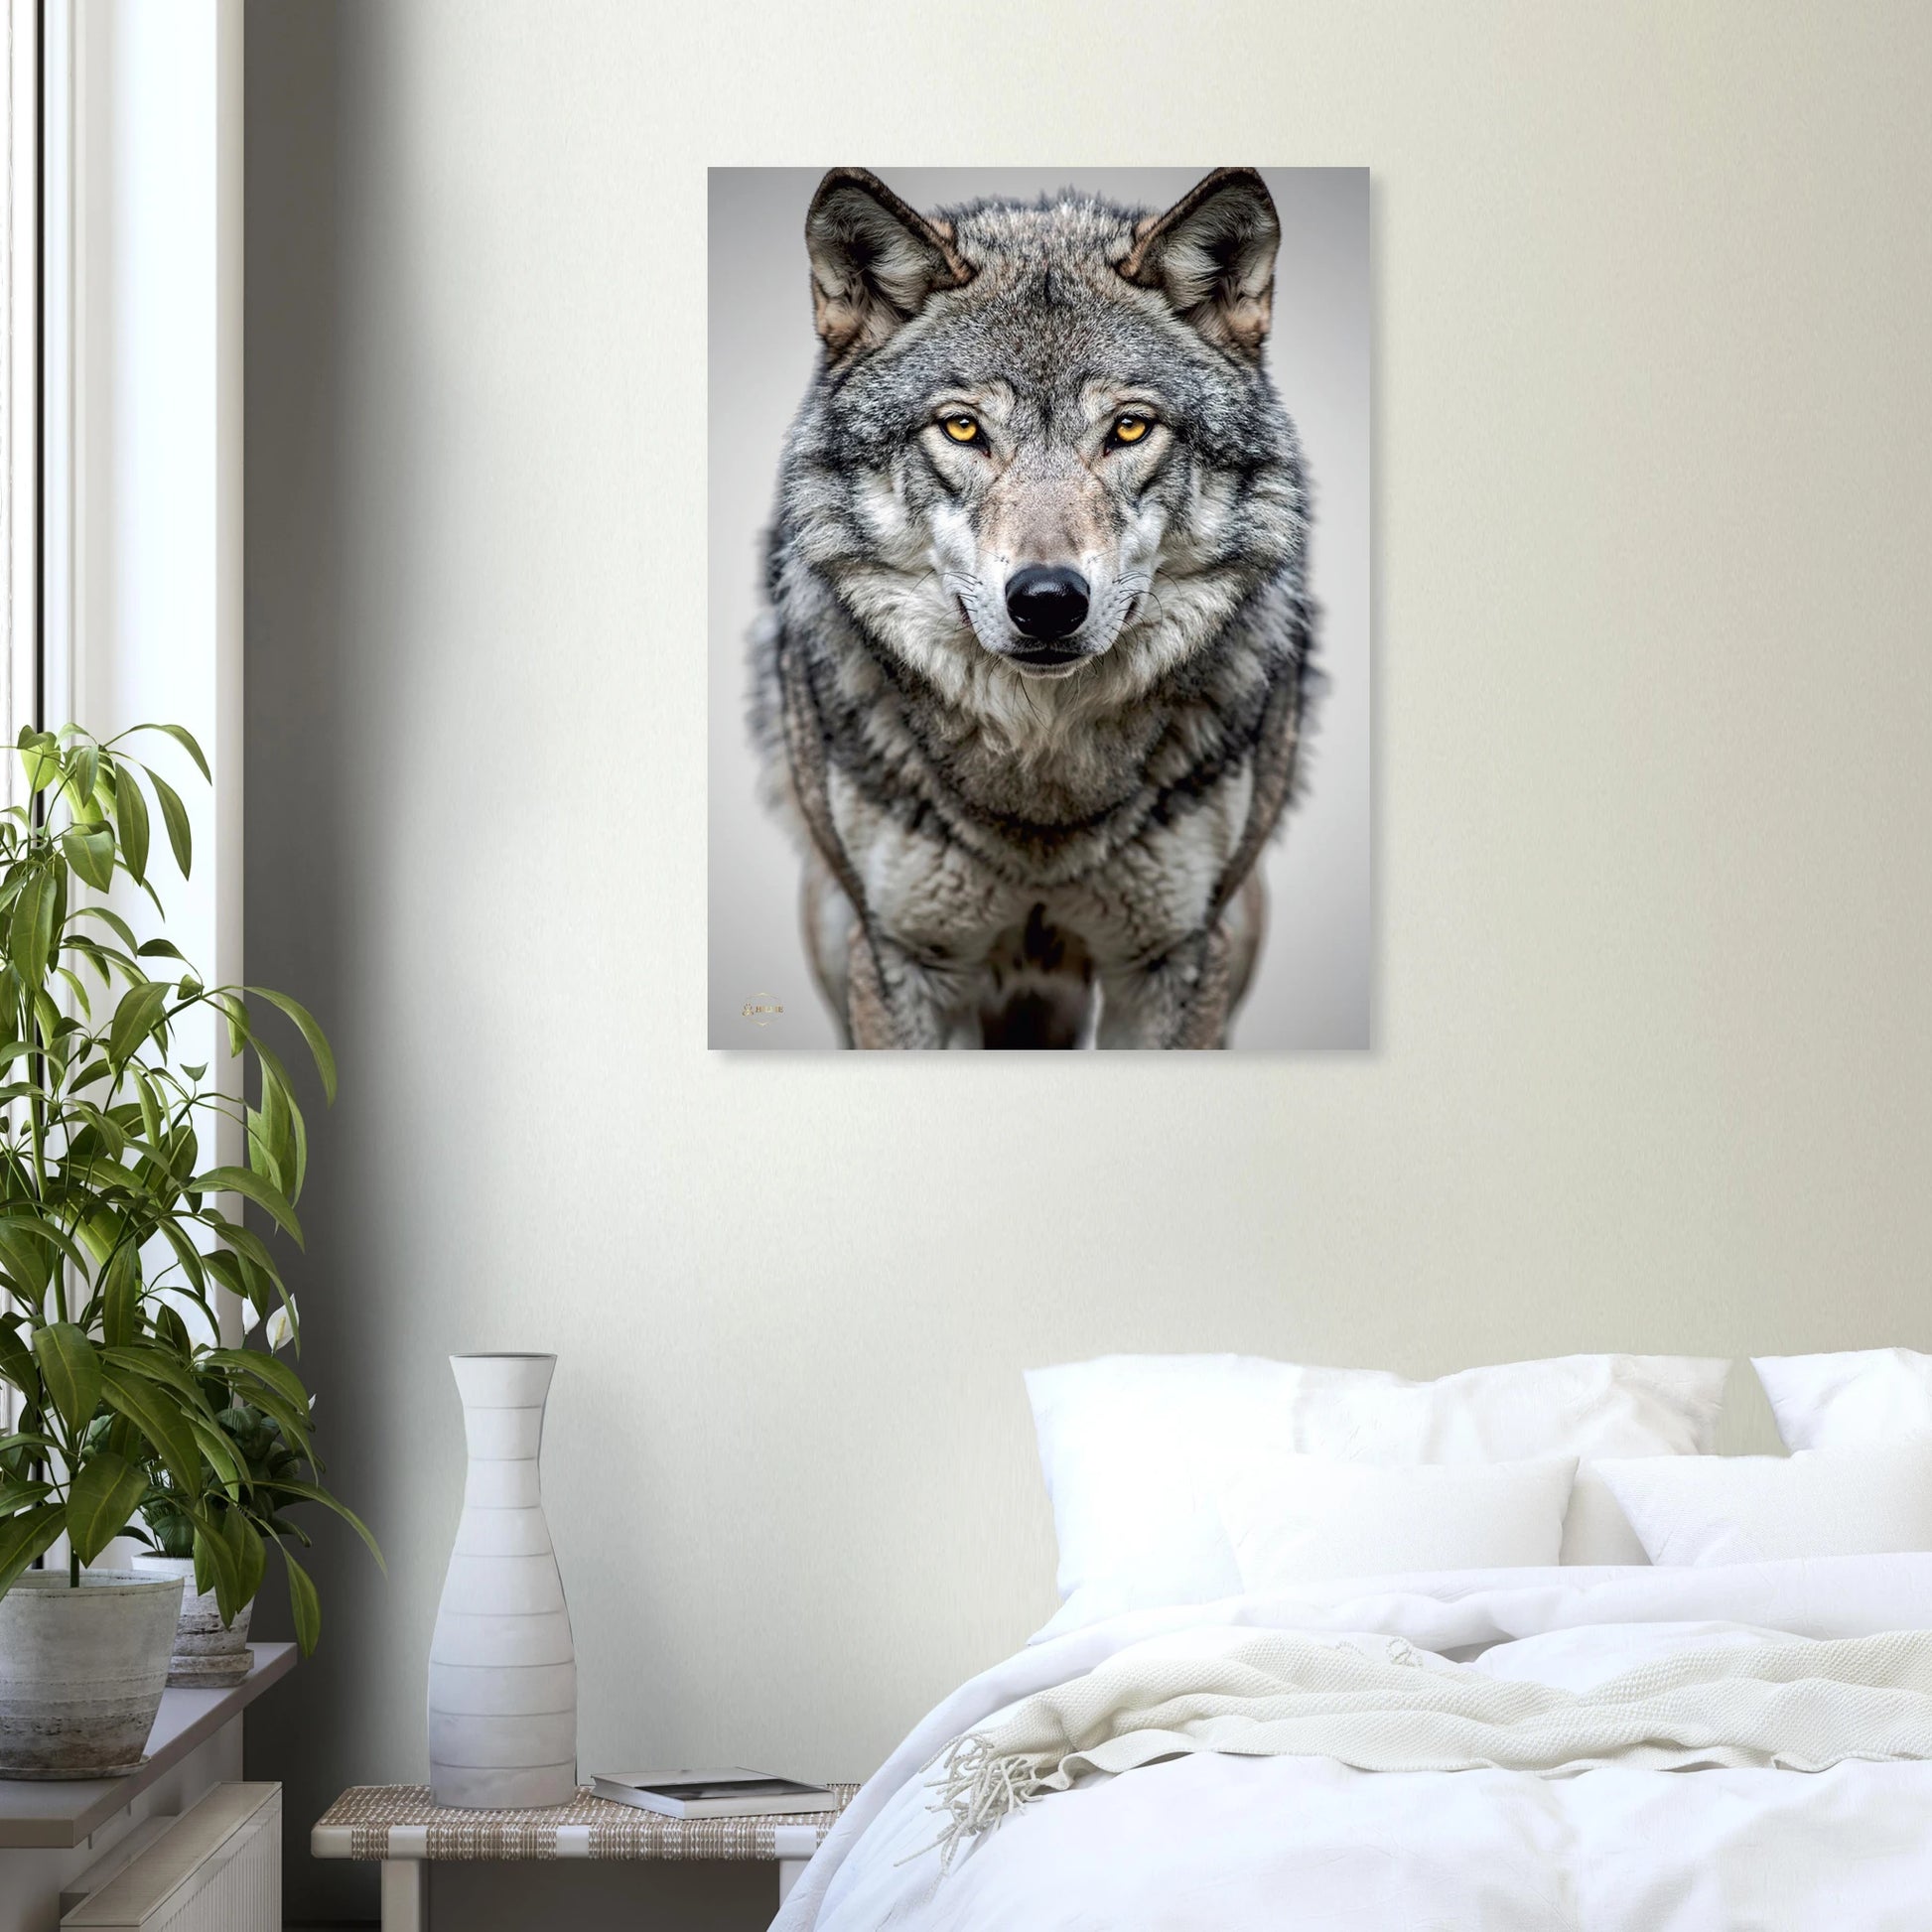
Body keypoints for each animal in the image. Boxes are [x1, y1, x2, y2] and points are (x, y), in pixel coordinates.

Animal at [750, 167, 1314, 1048]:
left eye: (1128, 428)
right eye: (962, 428)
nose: (1047, 602)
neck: (1043, 784)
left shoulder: (1173, 960)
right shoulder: (903, 957)